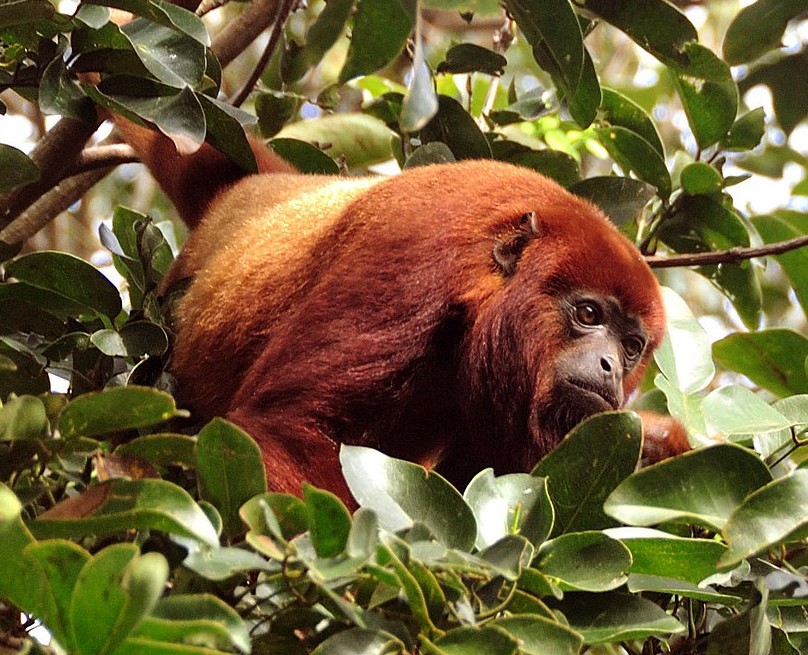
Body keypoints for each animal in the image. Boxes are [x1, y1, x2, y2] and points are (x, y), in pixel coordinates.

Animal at [107, 118, 689, 505]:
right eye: (588, 313)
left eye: (631, 346)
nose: (610, 367)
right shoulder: (410, 249)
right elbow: (286, 429)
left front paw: (658, 444)